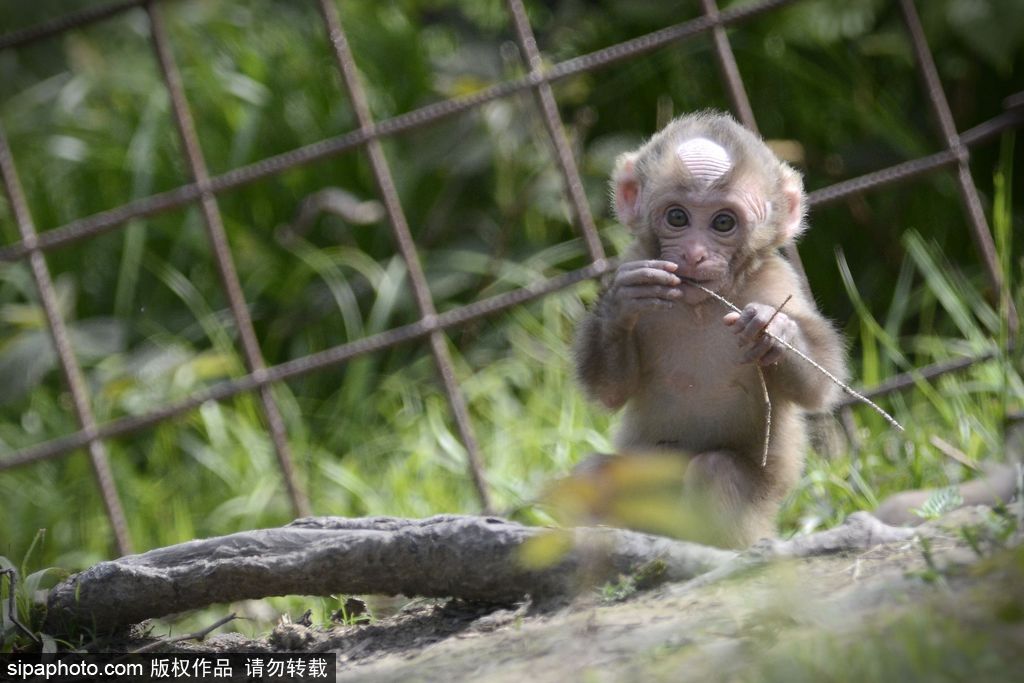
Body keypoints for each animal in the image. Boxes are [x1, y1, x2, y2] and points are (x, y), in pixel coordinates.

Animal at [577, 112, 847, 548]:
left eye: (723, 222)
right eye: (677, 217)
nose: (694, 254)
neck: (701, 306)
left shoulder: (777, 283)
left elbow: (818, 388)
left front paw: (774, 331)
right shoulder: (635, 257)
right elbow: (611, 391)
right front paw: (622, 303)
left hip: (757, 517)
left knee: (716, 471)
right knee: (592, 474)